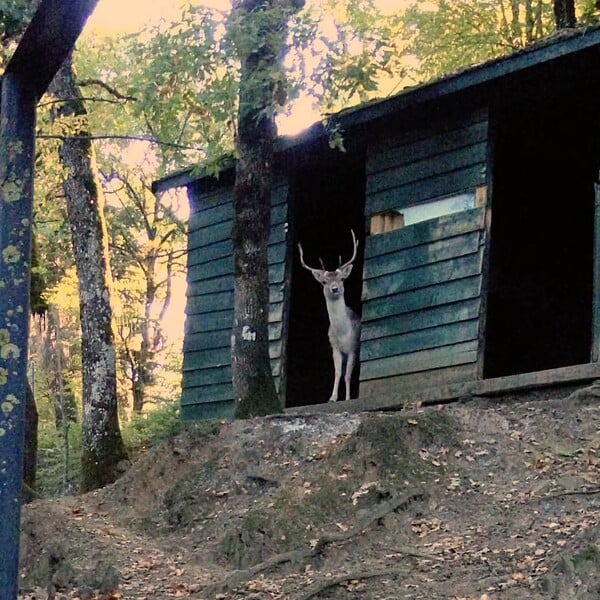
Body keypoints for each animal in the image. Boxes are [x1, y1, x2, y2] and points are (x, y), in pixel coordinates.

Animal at [296, 230, 358, 404]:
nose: (335, 289)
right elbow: (337, 372)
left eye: (342, 278)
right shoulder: (335, 347)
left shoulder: (353, 348)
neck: (343, 333)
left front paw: (348, 398)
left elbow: (348, 374)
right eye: (324, 281)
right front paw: (332, 398)